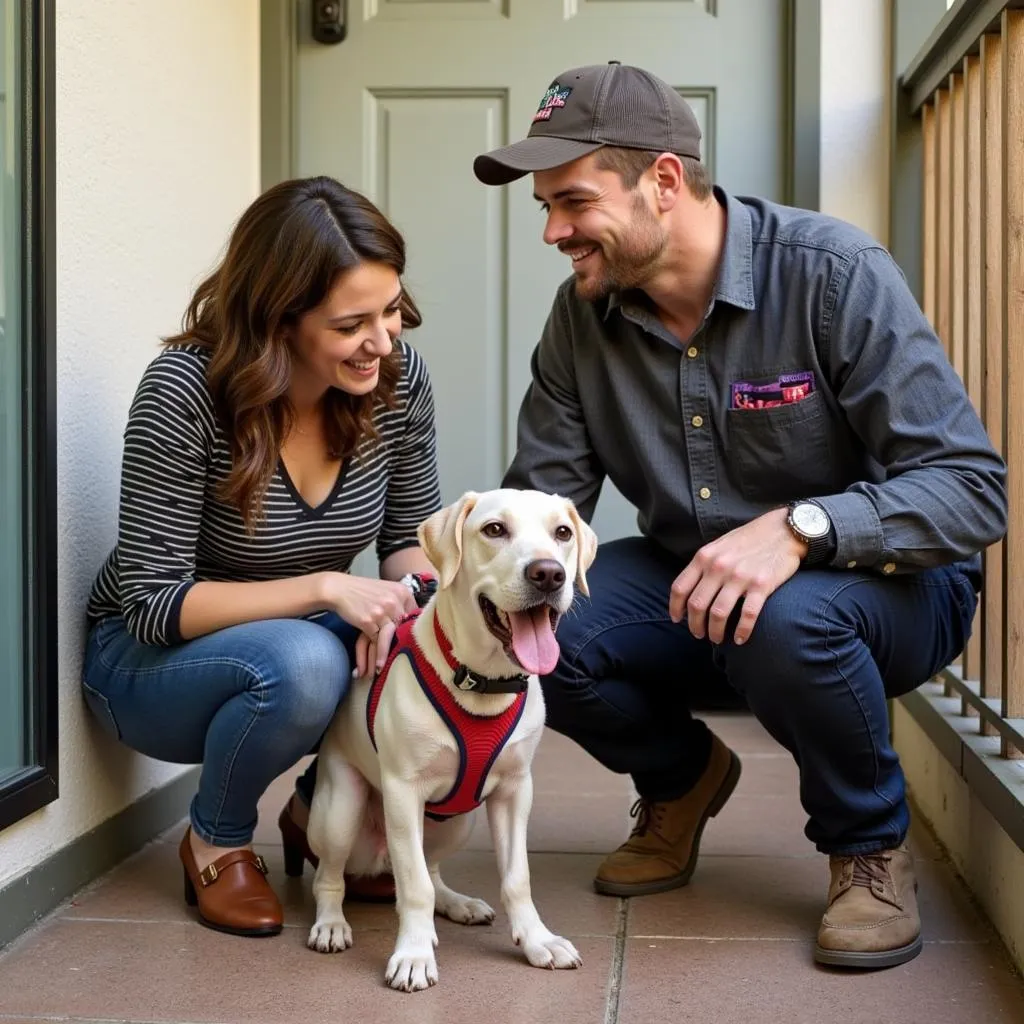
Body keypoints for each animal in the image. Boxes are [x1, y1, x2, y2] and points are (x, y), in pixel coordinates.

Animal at [303, 487, 598, 991]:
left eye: (562, 532)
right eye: (494, 529)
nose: (548, 573)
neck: (484, 682)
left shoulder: (516, 791)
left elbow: (516, 877)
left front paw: (537, 940)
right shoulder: (403, 791)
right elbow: (413, 886)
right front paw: (414, 955)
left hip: (459, 822)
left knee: (433, 868)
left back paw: (457, 903)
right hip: (340, 810)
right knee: (332, 874)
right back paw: (331, 924)